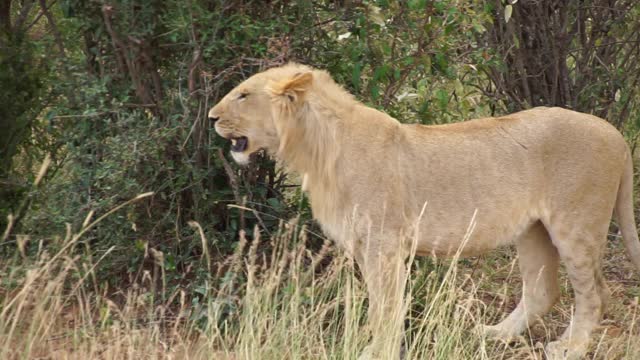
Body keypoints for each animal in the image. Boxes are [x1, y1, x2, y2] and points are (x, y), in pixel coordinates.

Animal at [209, 63, 640, 358]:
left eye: (243, 95)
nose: (211, 117)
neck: (315, 150)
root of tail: (616, 135)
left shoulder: (383, 245)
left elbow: (385, 308)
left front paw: (375, 352)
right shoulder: (367, 247)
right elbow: (384, 306)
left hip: (576, 225)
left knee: (595, 294)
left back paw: (570, 347)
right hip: (532, 230)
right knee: (542, 291)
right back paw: (495, 334)